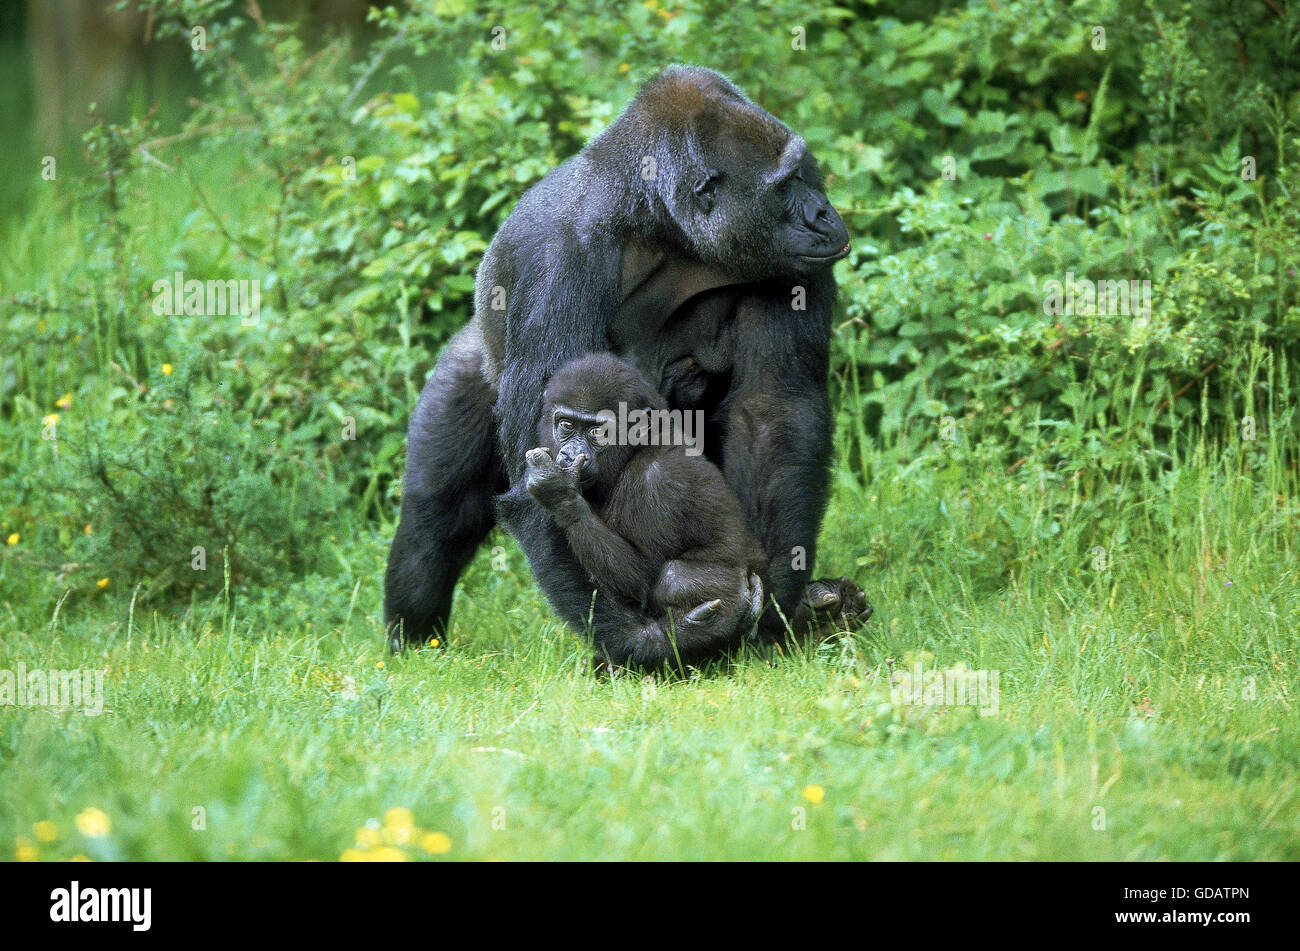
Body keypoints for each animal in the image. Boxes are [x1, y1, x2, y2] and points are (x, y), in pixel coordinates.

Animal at [525, 350, 764, 670]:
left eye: (597, 431)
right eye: (566, 425)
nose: (569, 455)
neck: (636, 449)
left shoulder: (658, 480)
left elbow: (641, 577)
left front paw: (559, 492)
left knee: (672, 578)